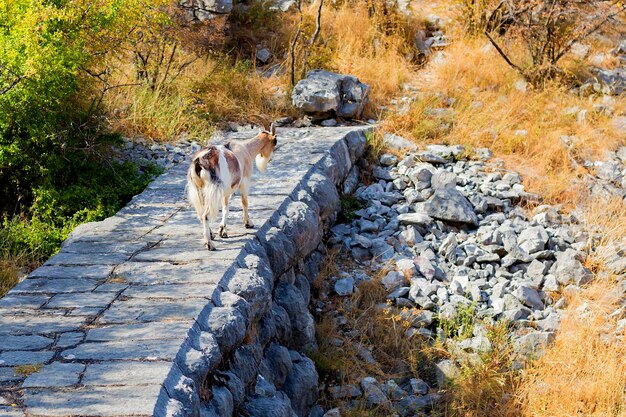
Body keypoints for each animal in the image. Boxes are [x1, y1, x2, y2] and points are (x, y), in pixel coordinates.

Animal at [183, 120, 276, 250]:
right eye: (274, 142)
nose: (269, 158)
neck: (246, 149)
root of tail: (199, 162)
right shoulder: (244, 182)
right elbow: (244, 202)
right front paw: (248, 223)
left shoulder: (226, 192)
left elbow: (226, 208)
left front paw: (222, 231)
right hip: (213, 190)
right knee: (205, 215)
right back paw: (210, 244)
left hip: (199, 190)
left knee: (201, 213)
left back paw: (211, 235)